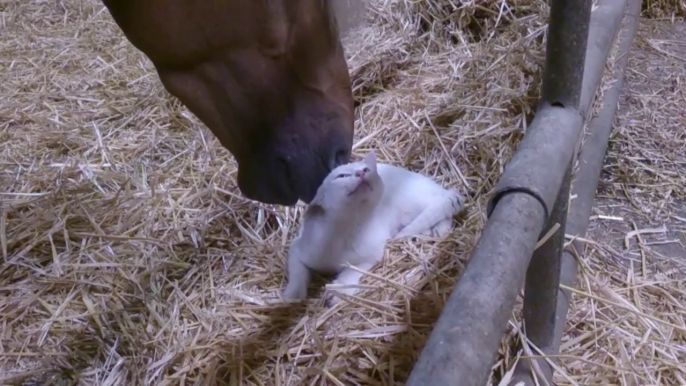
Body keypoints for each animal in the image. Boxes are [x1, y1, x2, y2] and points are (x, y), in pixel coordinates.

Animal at [280, 149, 468, 306]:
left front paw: (339, 290)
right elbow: (298, 272)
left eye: (366, 169)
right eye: (341, 176)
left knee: (442, 211)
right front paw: (293, 294)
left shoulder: (372, 255)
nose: (362, 172)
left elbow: (352, 271)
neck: (345, 227)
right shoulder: (298, 247)